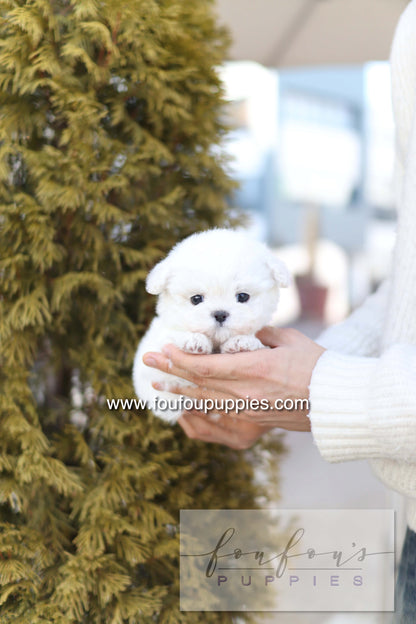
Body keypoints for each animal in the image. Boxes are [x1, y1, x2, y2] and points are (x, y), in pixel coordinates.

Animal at [132, 229, 290, 424]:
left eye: (243, 296)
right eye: (196, 299)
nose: (220, 314)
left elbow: (260, 344)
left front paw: (243, 342)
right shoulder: (154, 368)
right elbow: (170, 337)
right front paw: (193, 340)